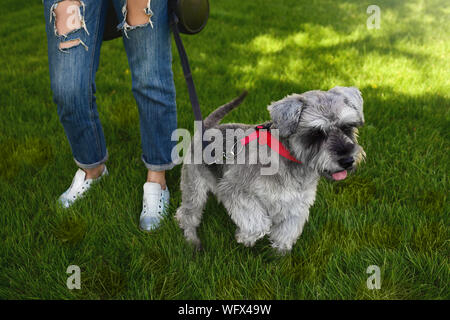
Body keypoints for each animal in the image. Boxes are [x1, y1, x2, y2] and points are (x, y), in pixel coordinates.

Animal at [176, 86, 366, 254]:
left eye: (347, 127)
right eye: (316, 133)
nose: (347, 160)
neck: (290, 161)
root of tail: (206, 128)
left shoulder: (296, 204)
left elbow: (286, 232)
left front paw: (279, 256)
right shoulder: (234, 189)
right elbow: (258, 223)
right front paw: (245, 237)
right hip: (194, 189)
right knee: (186, 215)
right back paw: (192, 241)